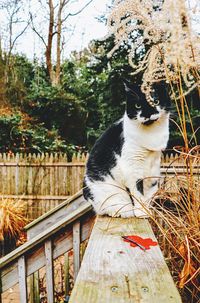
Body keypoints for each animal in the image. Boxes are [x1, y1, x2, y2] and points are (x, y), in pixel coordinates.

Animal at [83, 82, 170, 217]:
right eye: (137, 105)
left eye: (155, 101)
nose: (147, 114)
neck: (152, 134)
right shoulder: (132, 168)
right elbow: (137, 192)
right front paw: (141, 212)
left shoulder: (154, 168)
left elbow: (149, 193)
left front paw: (148, 211)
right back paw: (120, 212)